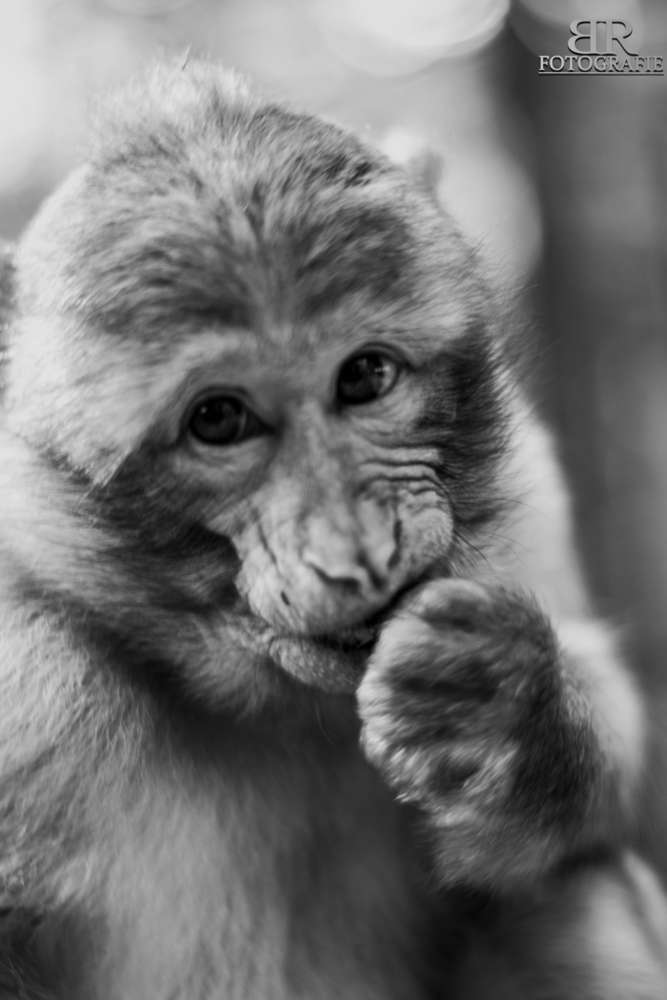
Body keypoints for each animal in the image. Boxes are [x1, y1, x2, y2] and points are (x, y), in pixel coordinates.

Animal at [0, 59, 665, 1000]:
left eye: (365, 376)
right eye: (217, 420)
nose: (361, 553)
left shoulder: (530, 491)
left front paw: (503, 709)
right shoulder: (26, 686)